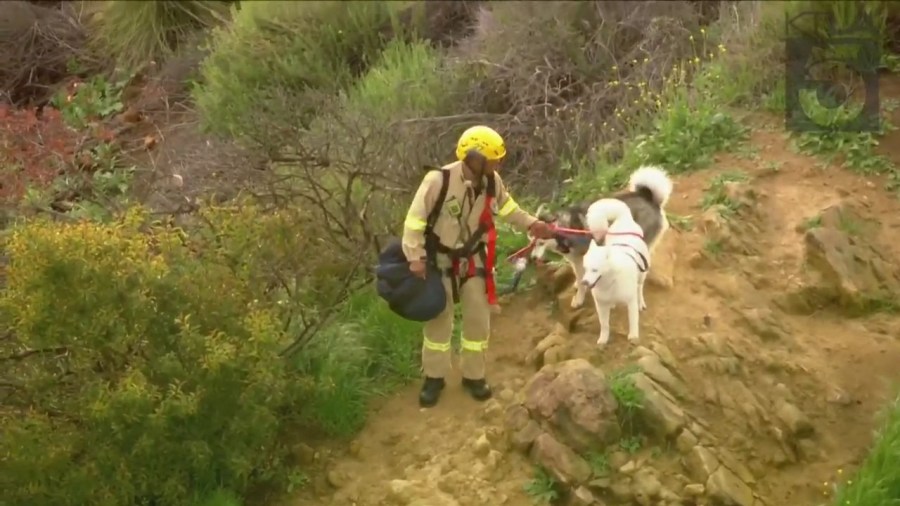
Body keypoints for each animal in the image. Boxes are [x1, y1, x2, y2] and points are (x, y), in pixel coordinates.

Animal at [532, 166, 672, 308]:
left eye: (540, 242)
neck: (563, 228)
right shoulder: (576, 260)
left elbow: (581, 279)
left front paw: (579, 298)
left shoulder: (580, 258)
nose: (533, 258)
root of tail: (647, 197)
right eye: (531, 242)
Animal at [580, 205, 652, 344]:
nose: (584, 282)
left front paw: (633, 336)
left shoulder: (631, 302)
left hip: (642, 274)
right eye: (585, 269)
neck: (611, 282)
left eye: (595, 270)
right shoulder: (601, 305)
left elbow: (633, 321)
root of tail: (624, 218)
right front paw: (603, 339)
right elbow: (604, 325)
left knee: (639, 288)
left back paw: (641, 302)